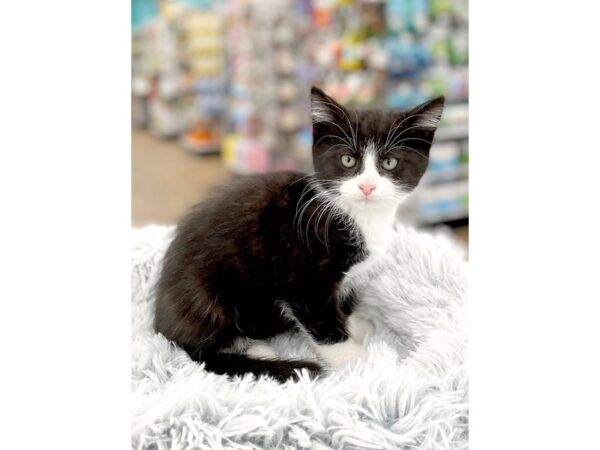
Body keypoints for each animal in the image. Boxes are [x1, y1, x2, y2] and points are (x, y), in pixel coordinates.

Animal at [155, 89, 446, 384]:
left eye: (389, 162)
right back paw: (257, 353)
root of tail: (160, 324)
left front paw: (354, 325)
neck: (358, 216)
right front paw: (360, 364)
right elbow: (323, 322)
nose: (367, 186)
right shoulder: (301, 277)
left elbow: (337, 308)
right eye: (348, 160)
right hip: (208, 297)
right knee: (201, 351)